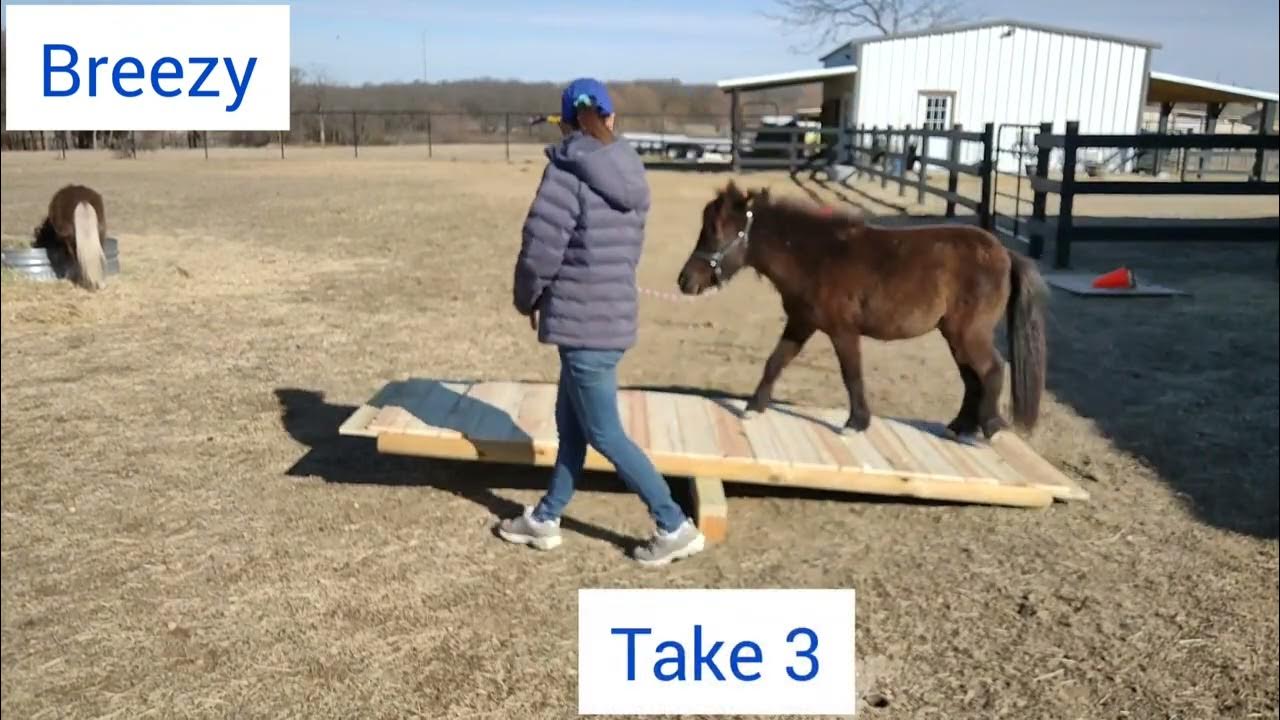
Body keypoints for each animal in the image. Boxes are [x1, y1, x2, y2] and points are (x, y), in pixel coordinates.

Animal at [676, 181, 1049, 440]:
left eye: (715, 230)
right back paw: (959, 427)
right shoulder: (801, 323)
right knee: (972, 377)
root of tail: (1003, 252)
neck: (816, 257)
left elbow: (852, 375)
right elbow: (775, 361)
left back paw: (991, 428)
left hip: (969, 333)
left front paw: (856, 423)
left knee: (991, 370)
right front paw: (754, 407)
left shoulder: (843, 331)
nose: (684, 281)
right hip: (954, 334)